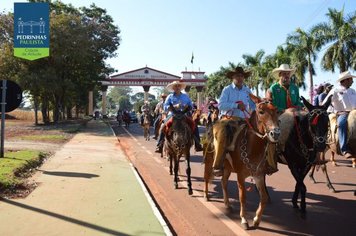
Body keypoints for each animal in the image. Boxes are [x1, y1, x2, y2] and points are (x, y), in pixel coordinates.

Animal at [211, 93, 280, 229]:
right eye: (261, 111)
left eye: (276, 111)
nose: (275, 133)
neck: (252, 147)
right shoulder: (240, 175)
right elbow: (242, 197)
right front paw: (244, 219)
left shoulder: (259, 175)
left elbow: (264, 197)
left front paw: (256, 219)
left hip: (227, 168)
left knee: (223, 182)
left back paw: (227, 204)